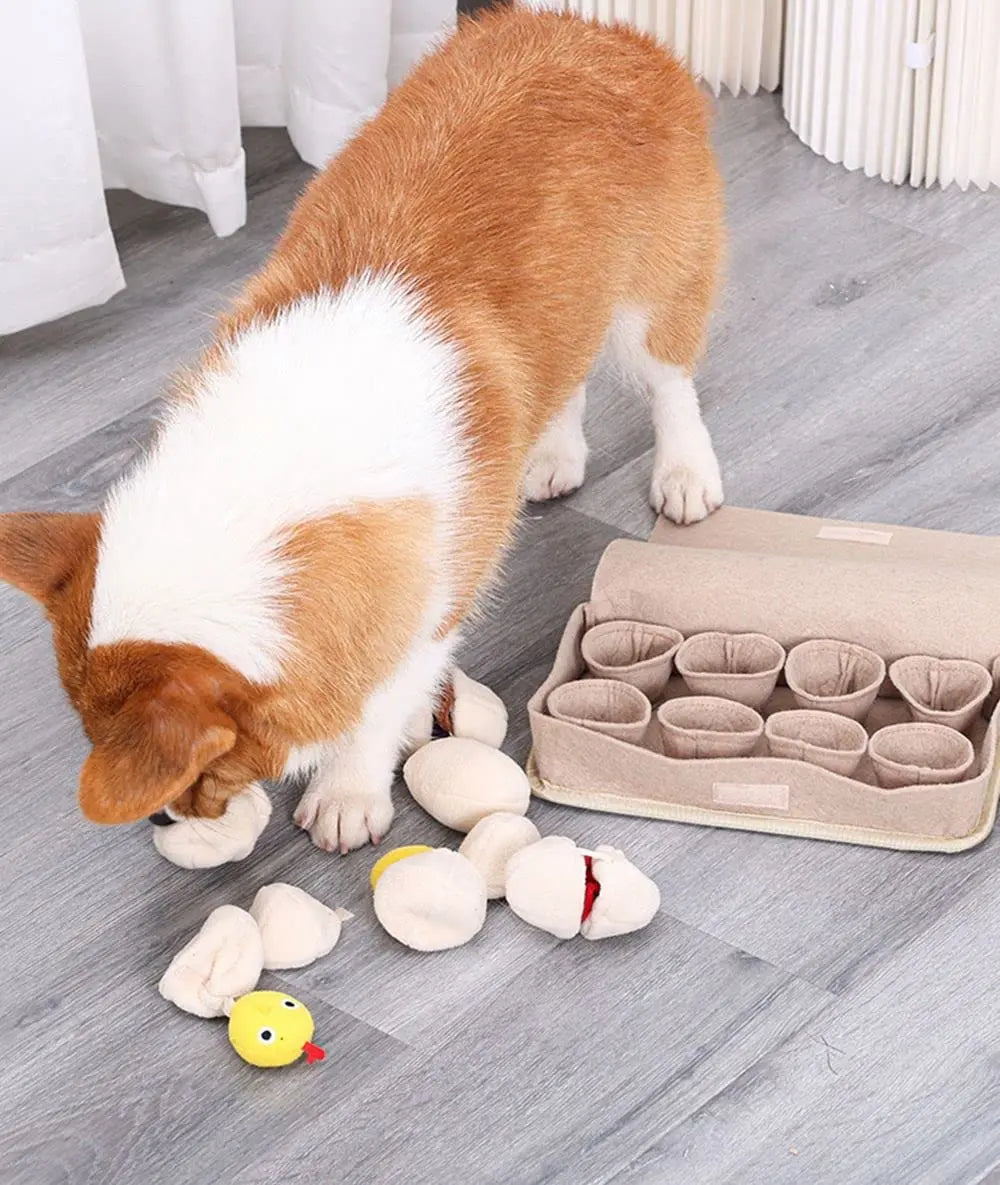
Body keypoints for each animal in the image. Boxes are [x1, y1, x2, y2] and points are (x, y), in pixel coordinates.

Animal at [0, 2, 720, 853]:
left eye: (212, 763)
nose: (166, 817)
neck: (269, 460)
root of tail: (599, 32)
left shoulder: (435, 598)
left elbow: (377, 703)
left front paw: (348, 790)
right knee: (564, 371)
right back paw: (551, 453)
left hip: (654, 298)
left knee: (670, 381)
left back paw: (686, 474)